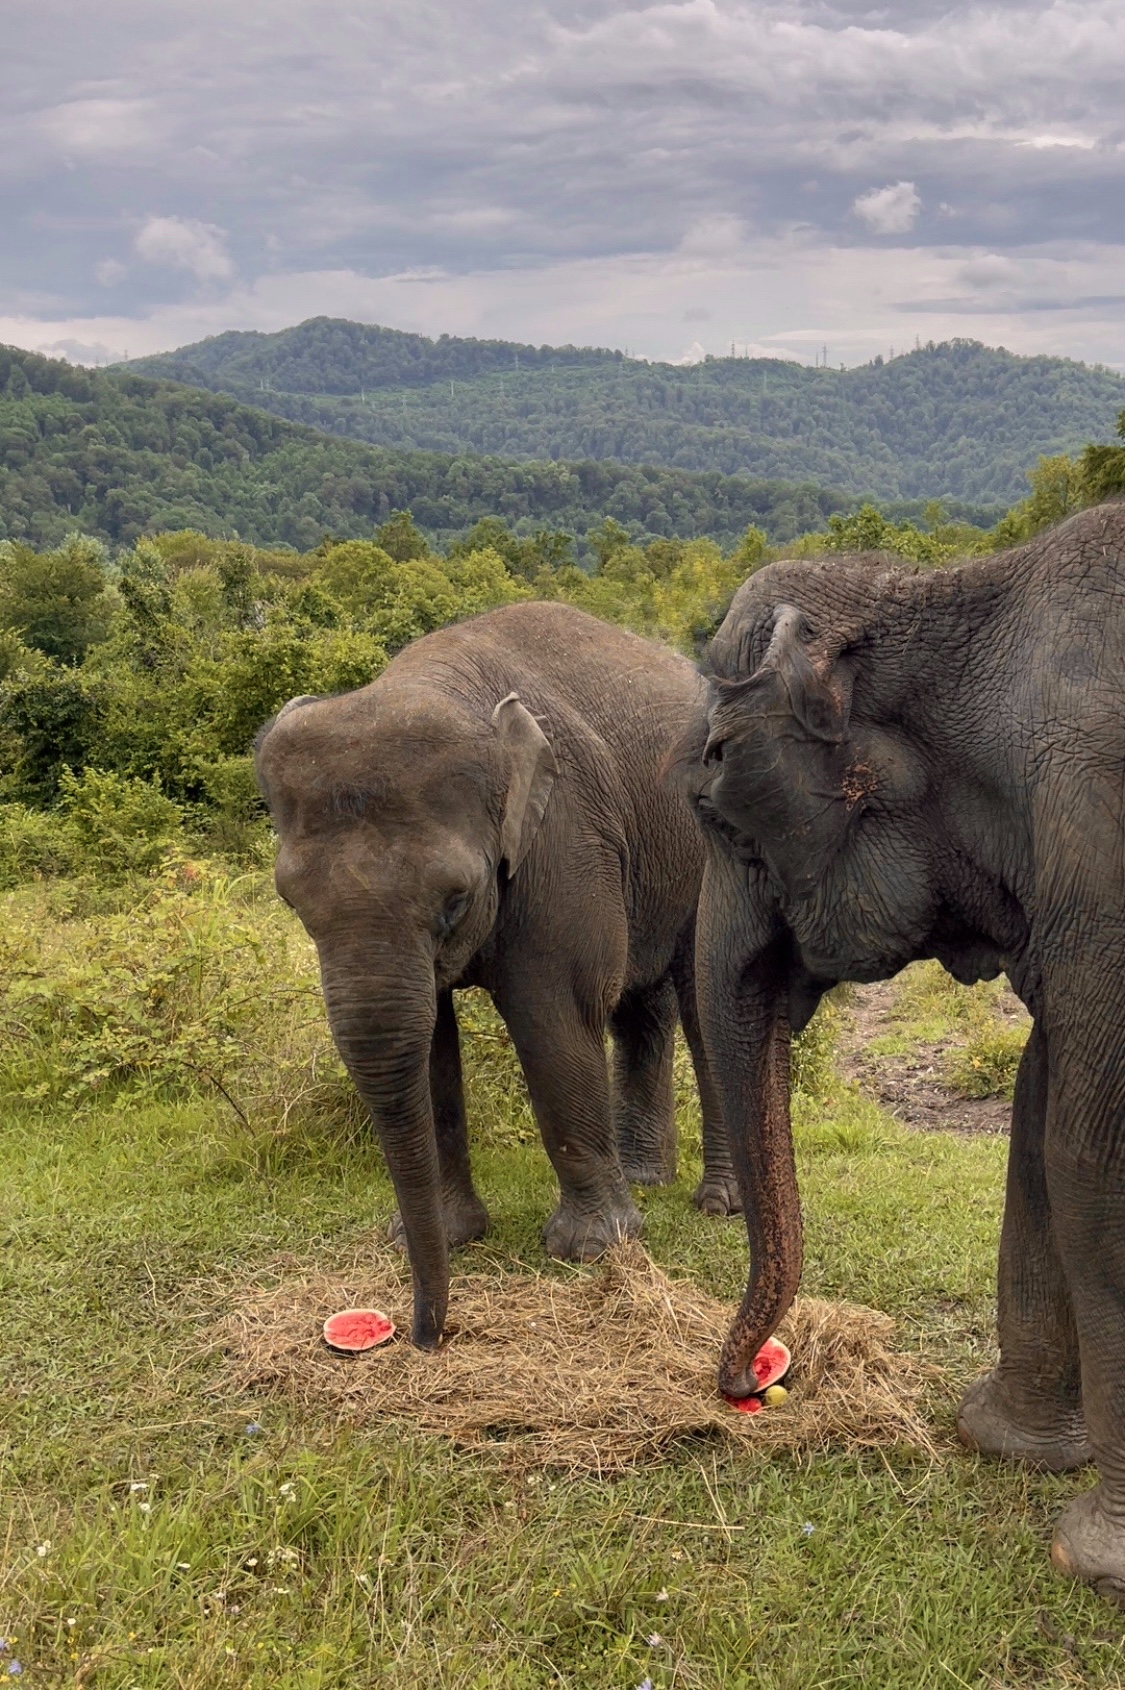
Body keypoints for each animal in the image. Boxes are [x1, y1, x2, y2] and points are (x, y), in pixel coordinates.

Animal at [251, 601, 736, 1352]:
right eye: (292, 903)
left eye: (455, 899)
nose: (425, 1336)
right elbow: (427, 1042)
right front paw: (444, 1237)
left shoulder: (563, 835)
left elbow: (552, 1014)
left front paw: (592, 1250)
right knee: (641, 1008)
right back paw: (645, 1178)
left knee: (698, 1000)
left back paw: (715, 1205)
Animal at [675, 496, 1121, 1595]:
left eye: (716, 813)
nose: (742, 1385)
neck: (949, 592)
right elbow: (1043, 1119)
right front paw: (1007, 1445)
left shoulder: (1098, 836)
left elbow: (1094, 1157)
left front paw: (1092, 1560)